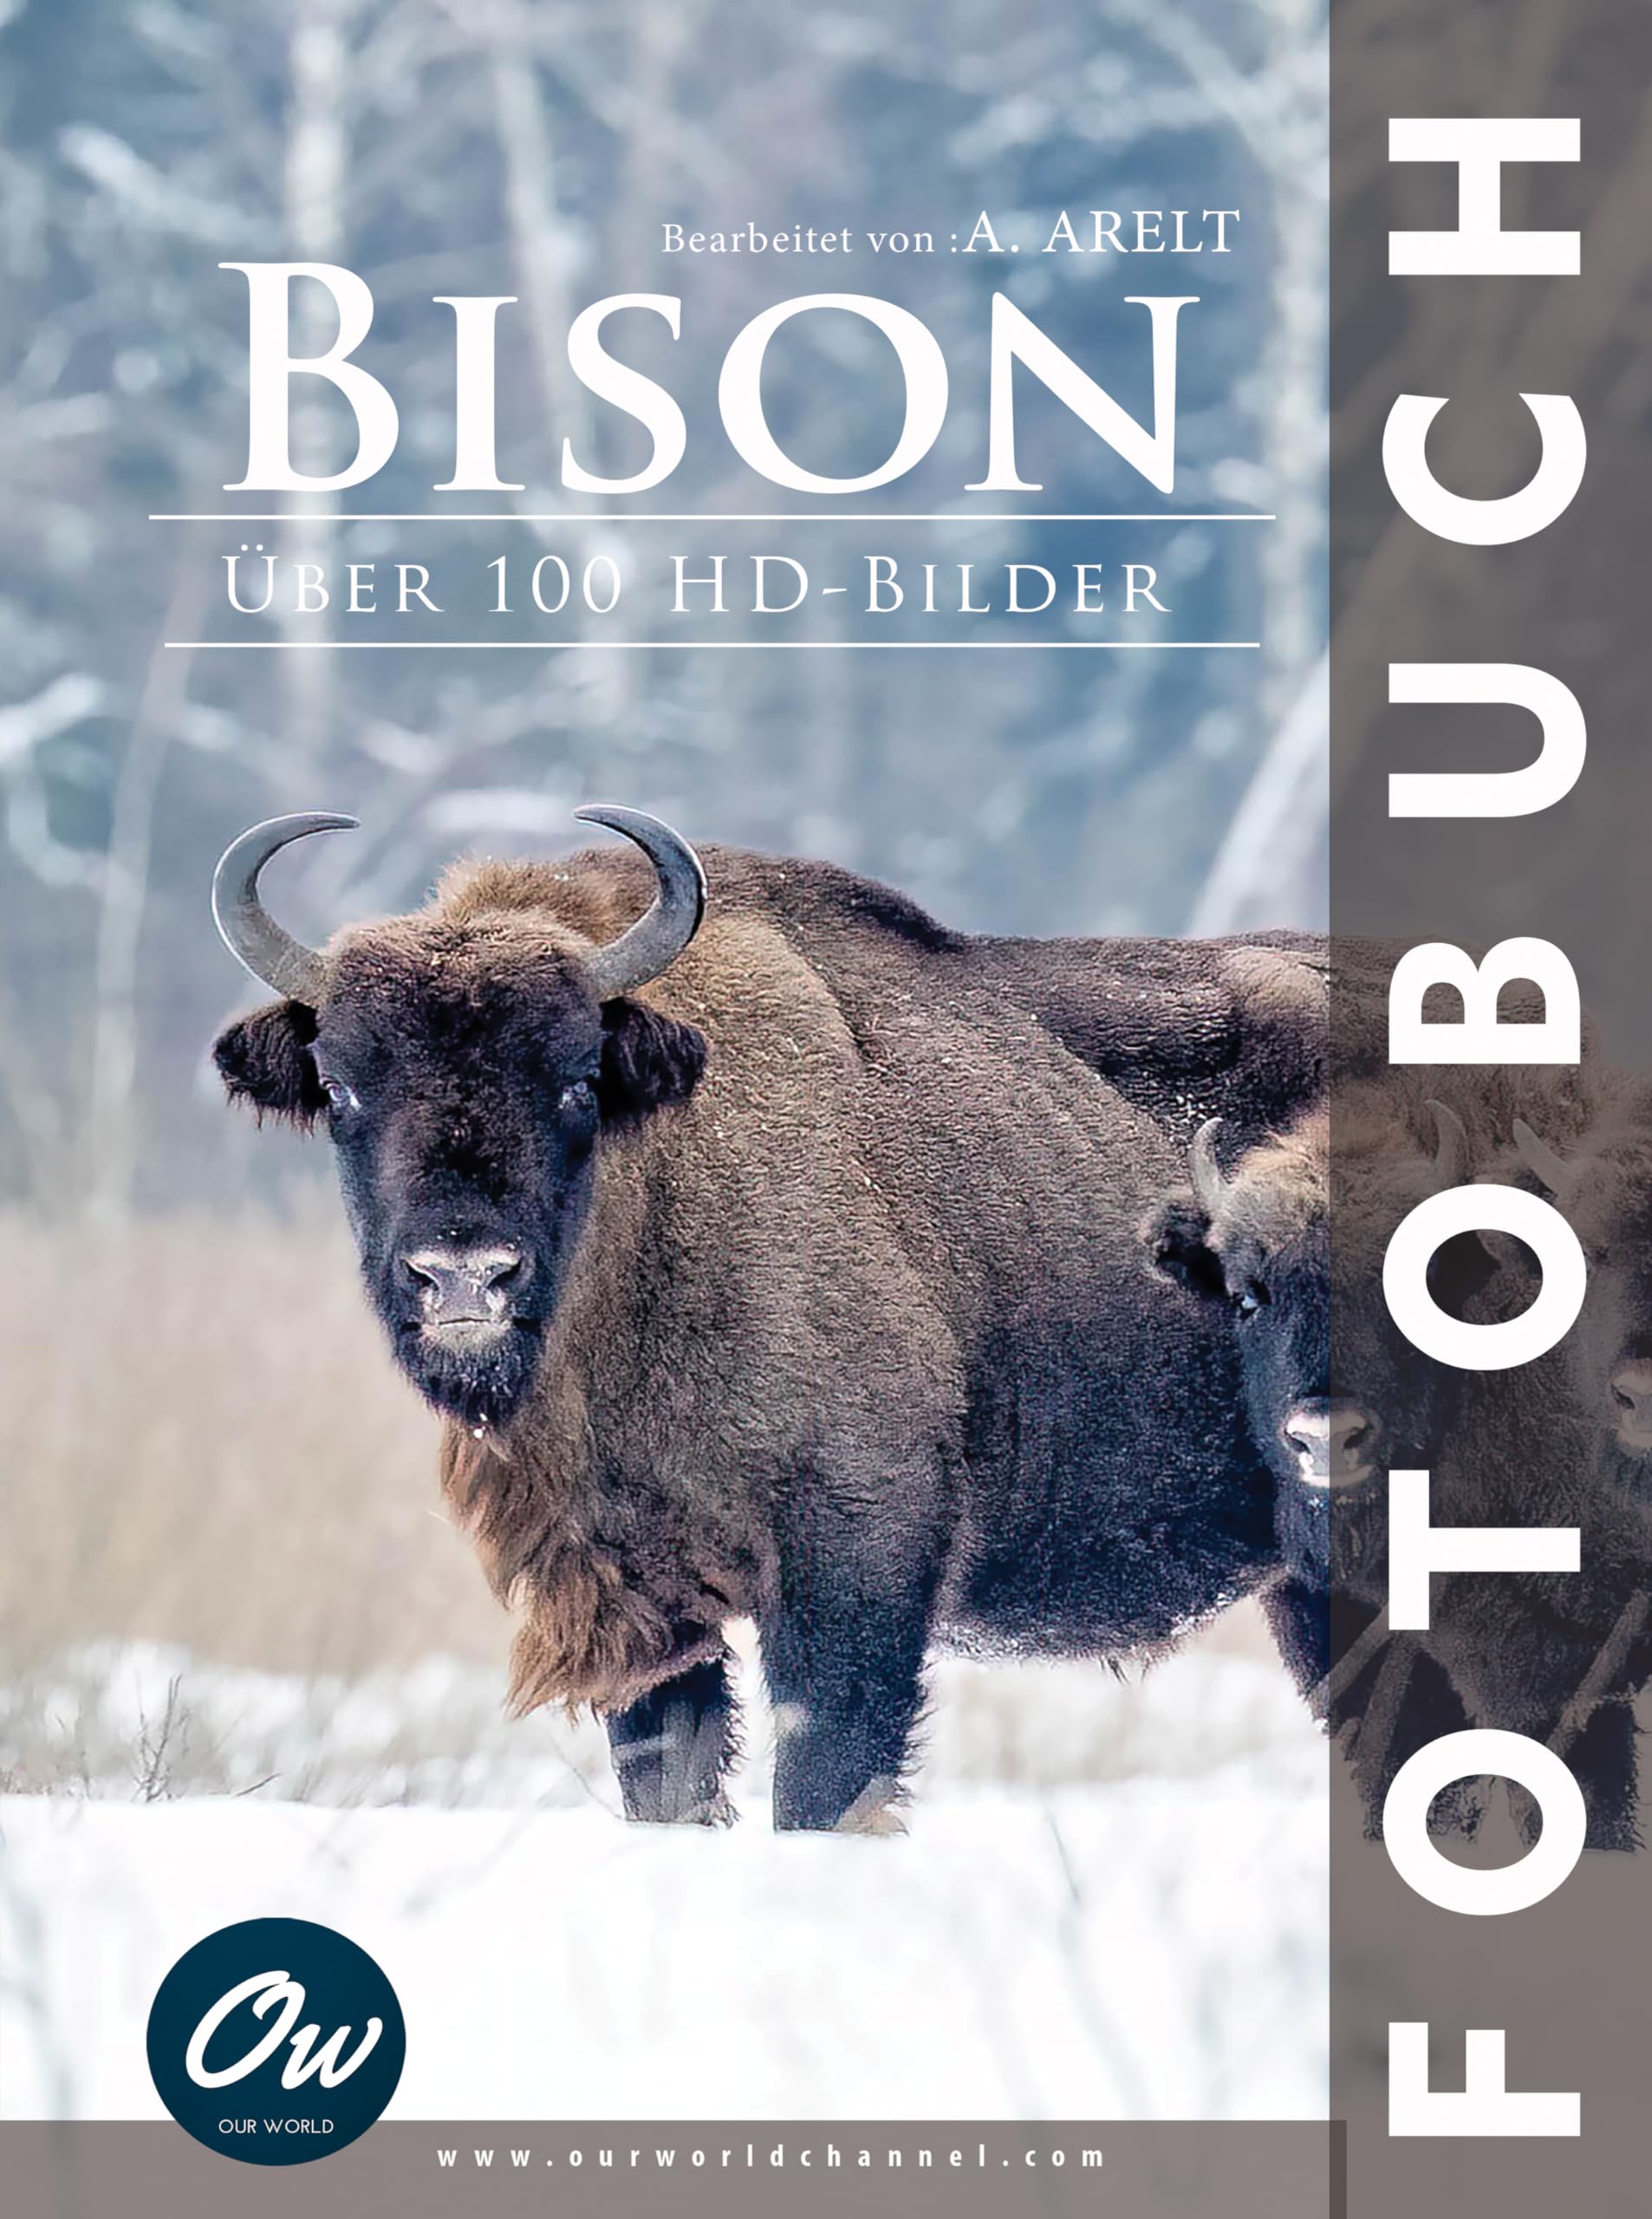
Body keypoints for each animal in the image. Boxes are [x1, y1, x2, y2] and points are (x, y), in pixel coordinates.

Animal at [212, 804, 1326, 1831]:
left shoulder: (853, 1555)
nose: (462, 1274)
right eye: (342, 1086)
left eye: (577, 1077)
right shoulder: (642, 1599)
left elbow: (820, 1785)